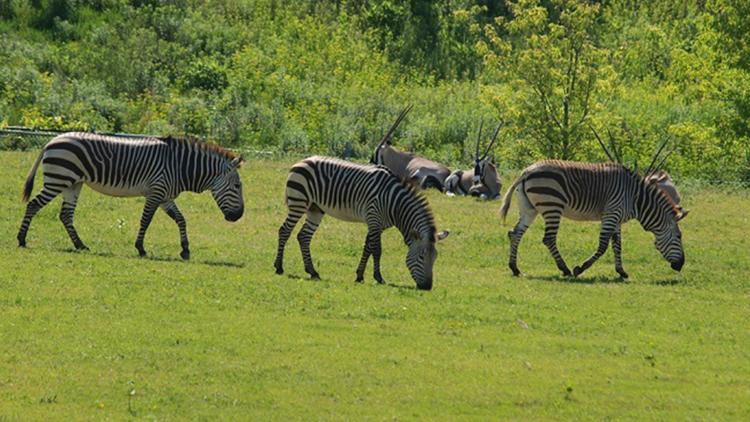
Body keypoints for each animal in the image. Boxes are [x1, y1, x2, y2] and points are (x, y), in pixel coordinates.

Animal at [17, 132, 245, 258]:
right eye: (237, 186)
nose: (238, 216)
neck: (180, 166)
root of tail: (51, 141)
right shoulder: (156, 192)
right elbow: (146, 220)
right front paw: (141, 248)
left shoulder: (165, 196)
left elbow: (181, 219)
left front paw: (185, 250)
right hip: (58, 179)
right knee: (34, 204)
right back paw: (21, 239)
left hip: (72, 184)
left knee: (65, 215)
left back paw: (80, 245)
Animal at [276, 155, 452, 290]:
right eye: (422, 257)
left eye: (435, 257)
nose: (427, 287)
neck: (394, 204)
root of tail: (302, 160)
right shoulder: (374, 219)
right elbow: (377, 250)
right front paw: (379, 277)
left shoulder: (376, 225)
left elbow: (367, 248)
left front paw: (360, 276)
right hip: (299, 201)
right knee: (284, 230)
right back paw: (279, 267)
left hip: (315, 209)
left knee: (304, 236)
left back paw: (312, 272)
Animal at [502, 160, 692, 278]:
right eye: (679, 236)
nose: (681, 265)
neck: (636, 198)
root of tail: (526, 172)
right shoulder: (611, 214)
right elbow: (603, 246)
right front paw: (580, 269)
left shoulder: (616, 218)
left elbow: (617, 245)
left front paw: (621, 271)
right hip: (552, 207)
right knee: (548, 239)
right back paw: (565, 269)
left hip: (529, 208)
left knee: (515, 233)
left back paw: (515, 268)